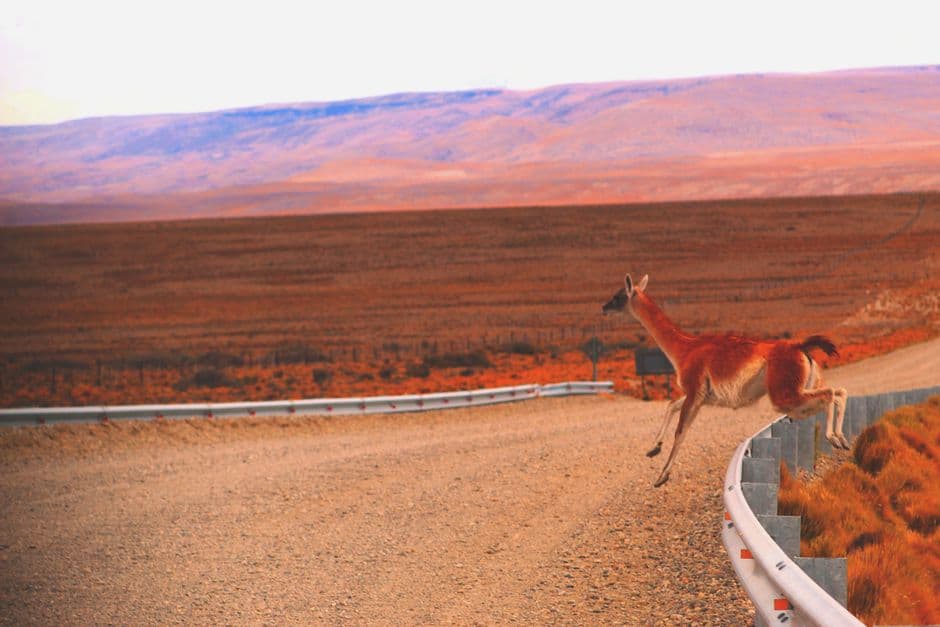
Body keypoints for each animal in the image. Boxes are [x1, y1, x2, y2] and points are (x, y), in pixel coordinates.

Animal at [603, 273, 848, 487]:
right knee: (838, 392)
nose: (604, 308)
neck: (685, 349)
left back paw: (833, 438)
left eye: (618, 296)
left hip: (784, 393)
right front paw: (653, 448)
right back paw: (842, 439)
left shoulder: (694, 390)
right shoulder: (701, 396)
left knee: (829, 394)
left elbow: (681, 431)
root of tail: (799, 346)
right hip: (802, 386)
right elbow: (671, 405)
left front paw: (662, 476)